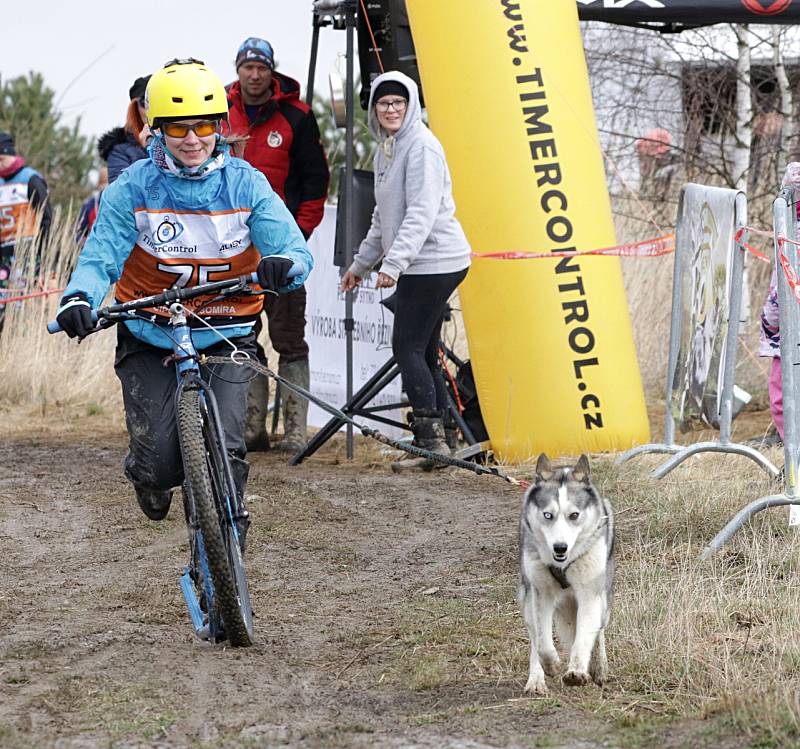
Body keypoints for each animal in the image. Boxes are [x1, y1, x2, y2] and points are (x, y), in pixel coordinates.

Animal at [516, 452, 616, 692]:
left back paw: (600, 667)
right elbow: (542, 642)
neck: (563, 564)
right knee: (535, 638)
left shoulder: (590, 593)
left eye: (574, 515)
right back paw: (536, 679)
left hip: (603, 601)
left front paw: (577, 671)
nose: (559, 547)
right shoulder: (541, 592)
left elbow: (584, 636)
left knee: (598, 631)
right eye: (547, 515)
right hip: (527, 598)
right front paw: (551, 665)